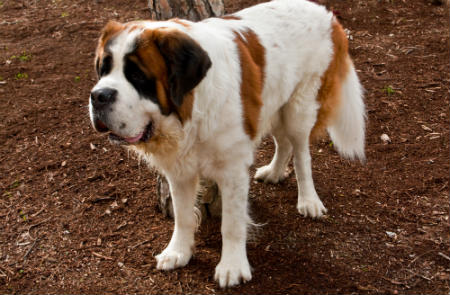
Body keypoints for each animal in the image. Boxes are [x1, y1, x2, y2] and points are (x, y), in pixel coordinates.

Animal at [88, 0, 366, 288]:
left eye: (138, 75)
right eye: (103, 70)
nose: (98, 96)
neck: (190, 110)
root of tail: (325, 13)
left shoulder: (232, 171)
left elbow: (231, 224)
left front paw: (232, 267)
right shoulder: (180, 171)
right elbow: (183, 216)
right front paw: (178, 252)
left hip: (300, 106)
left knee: (301, 153)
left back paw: (309, 200)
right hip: (271, 104)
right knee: (284, 143)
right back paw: (274, 172)